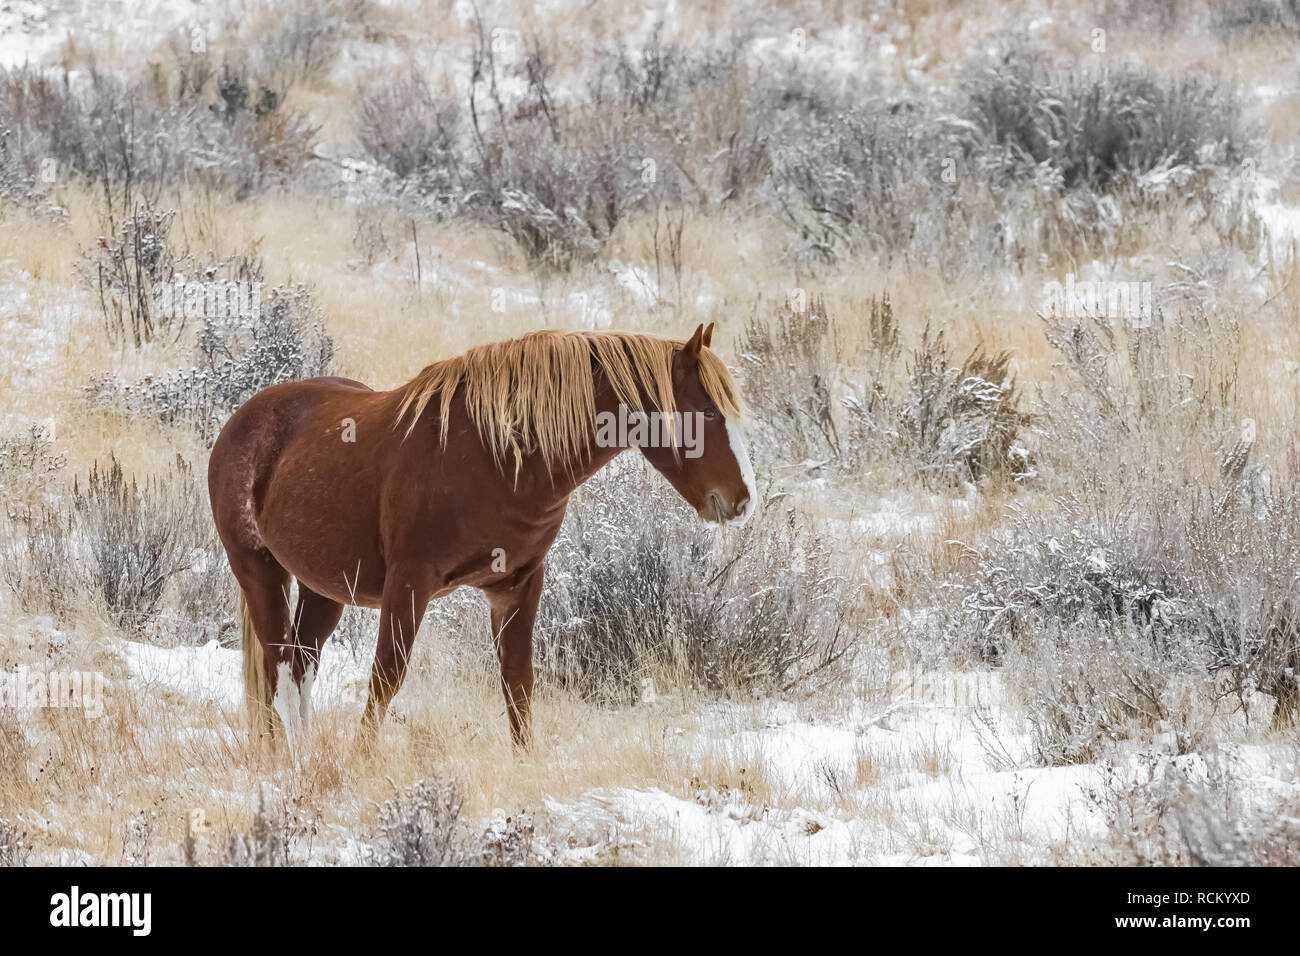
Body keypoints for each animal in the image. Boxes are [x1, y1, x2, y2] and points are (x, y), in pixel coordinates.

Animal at [207, 322, 755, 753]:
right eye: (707, 412)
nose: (743, 499)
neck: (502, 457)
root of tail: (242, 418)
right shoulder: (409, 583)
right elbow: (387, 676)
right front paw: (361, 760)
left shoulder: (516, 586)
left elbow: (519, 685)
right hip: (260, 572)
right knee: (280, 672)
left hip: (325, 588)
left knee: (300, 667)